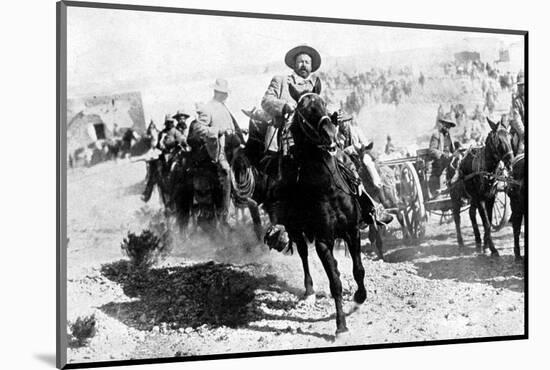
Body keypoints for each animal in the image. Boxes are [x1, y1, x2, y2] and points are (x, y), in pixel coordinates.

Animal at [276, 86, 370, 336]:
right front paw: (340, 325)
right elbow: (334, 283)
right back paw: (309, 292)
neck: (328, 189)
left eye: (324, 103)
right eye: (303, 111)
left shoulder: (352, 231)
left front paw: (359, 296)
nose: (330, 135)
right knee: (303, 255)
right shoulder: (322, 242)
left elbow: (358, 270)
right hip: (296, 231)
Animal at [452, 117, 516, 256]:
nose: (510, 162)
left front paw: (486, 245)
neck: (487, 170)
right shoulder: (480, 199)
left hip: (473, 198)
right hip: (456, 197)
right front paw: (492, 248)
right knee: (456, 217)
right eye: (499, 141)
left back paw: (477, 240)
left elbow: (489, 220)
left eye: (510, 137)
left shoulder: (490, 198)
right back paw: (460, 242)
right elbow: (486, 222)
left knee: (471, 213)